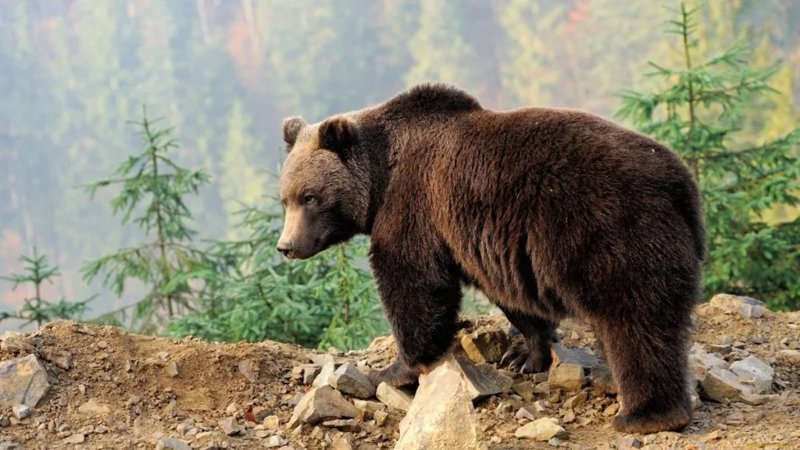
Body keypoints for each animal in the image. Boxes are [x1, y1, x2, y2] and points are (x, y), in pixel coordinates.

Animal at [277, 83, 705, 434]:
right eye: (285, 198)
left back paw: (646, 414)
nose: (286, 246)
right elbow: (510, 295)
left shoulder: (415, 205)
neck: (381, 178)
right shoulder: (488, 242)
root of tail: (680, 181)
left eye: (310, 197)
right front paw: (525, 355)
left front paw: (392, 371)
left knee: (634, 320)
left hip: (608, 230)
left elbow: (413, 282)